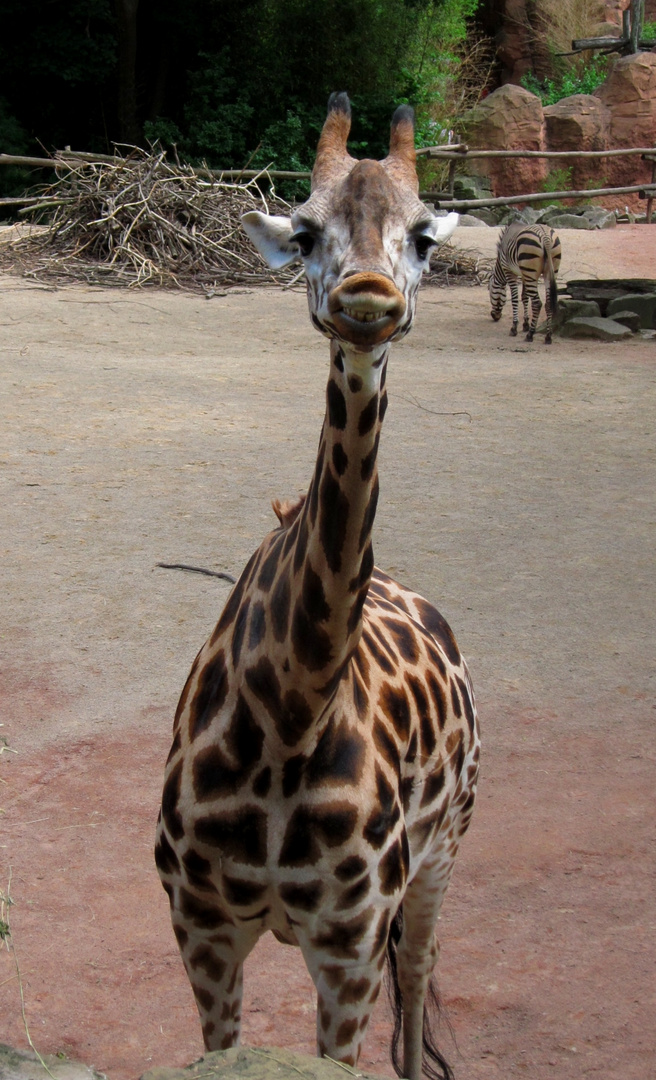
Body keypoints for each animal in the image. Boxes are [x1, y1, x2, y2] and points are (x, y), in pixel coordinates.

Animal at [155, 92, 479, 1080]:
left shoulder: (348, 944)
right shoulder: (203, 930)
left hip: (445, 850)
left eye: (423, 238)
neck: (291, 710)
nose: (366, 300)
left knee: (420, 974)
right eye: (304, 232)